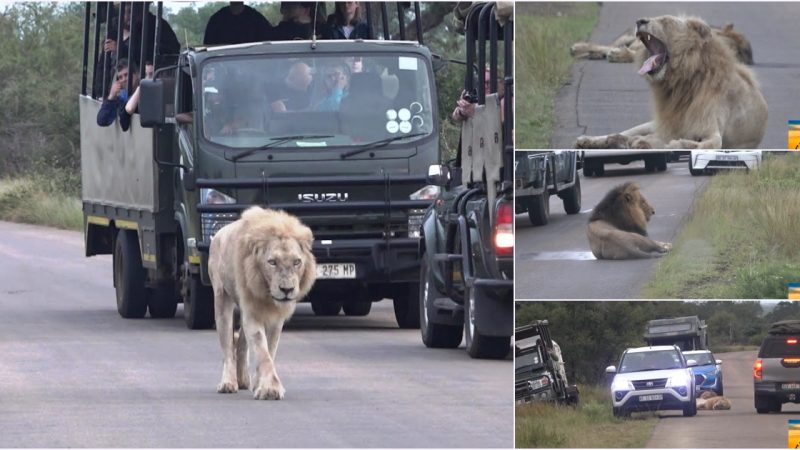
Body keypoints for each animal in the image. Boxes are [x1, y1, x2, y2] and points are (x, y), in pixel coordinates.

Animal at [209, 206, 316, 400]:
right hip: (222, 299)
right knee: (227, 348)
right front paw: (270, 389)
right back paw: (228, 383)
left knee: (241, 344)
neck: (267, 294)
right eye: (272, 262)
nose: (287, 290)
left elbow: (270, 350)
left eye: (297, 262)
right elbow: (262, 349)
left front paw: (260, 384)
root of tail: (218, 233)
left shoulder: (275, 319)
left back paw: (243, 380)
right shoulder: (252, 312)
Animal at [576, 14, 768, 149]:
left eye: (666, 21)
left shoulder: (711, 129)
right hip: (650, 124)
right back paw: (589, 140)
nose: (640, 21)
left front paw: (678, 144)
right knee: (623, 133)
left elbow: (708, 144)